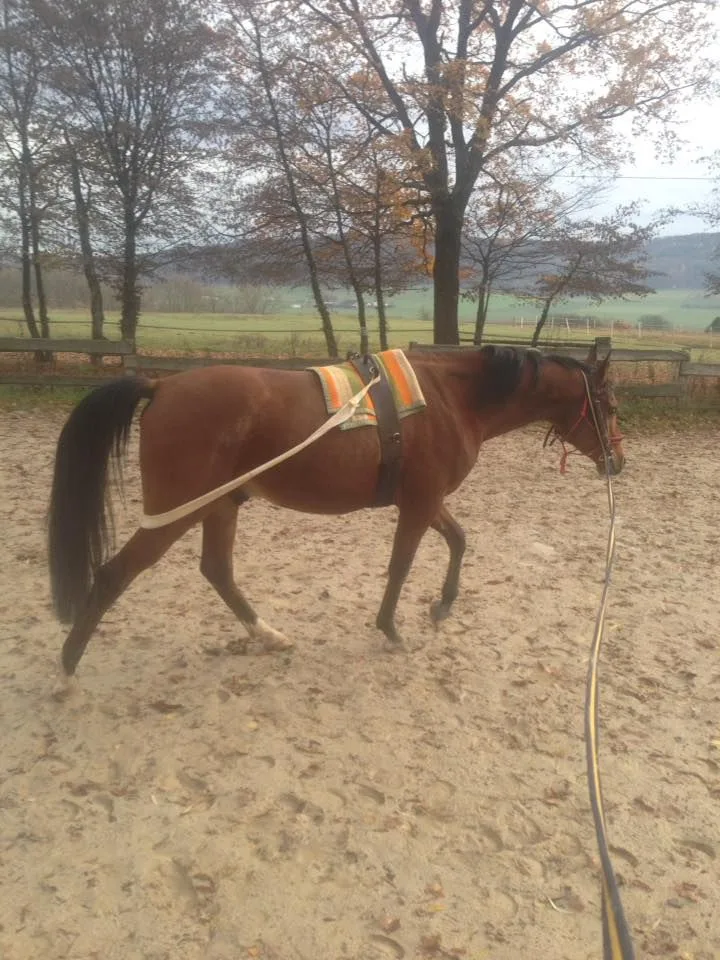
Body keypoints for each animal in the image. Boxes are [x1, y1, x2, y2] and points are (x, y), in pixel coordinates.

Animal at [47, 343, 624, 678]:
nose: (618, 460)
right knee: (115, 573)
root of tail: (162, 384)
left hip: (222, 504)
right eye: (609, 404)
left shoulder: (425, 499)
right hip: (179, 510)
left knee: (217, 571)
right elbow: (401, 565)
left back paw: (269, 635)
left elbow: (458, 540)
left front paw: (442, 605)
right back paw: (69, 665)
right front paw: (391, 629)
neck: (450, 397)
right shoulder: (419, 503)